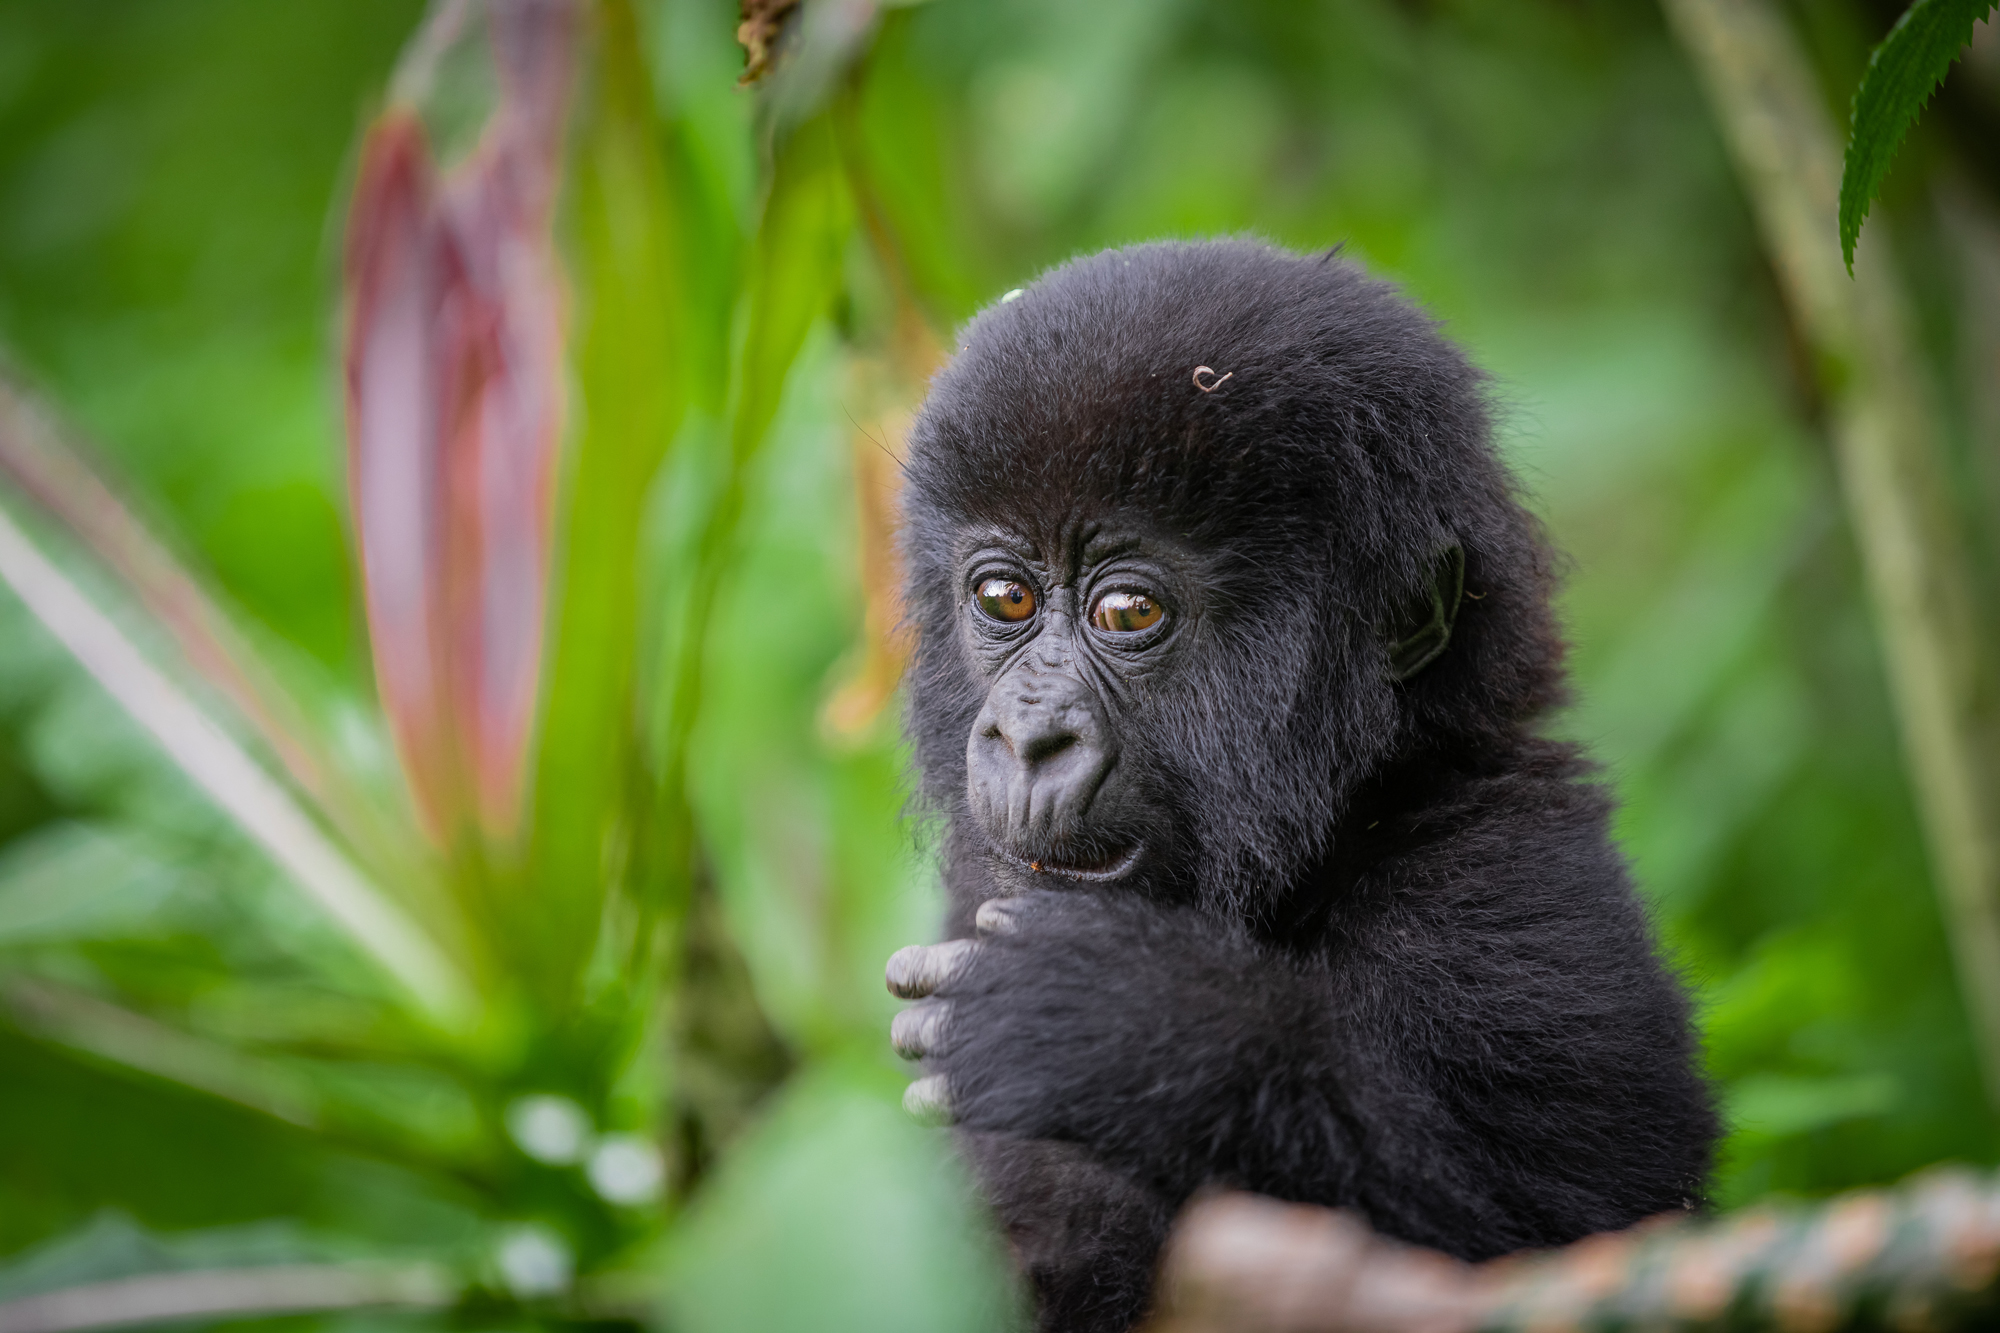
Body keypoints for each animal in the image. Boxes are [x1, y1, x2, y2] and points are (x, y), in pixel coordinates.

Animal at [884, 239, 1712, 1328]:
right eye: (1003, 598)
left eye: (1126, 612)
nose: (1028, 737)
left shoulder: (1509, 878)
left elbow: (1562, 1235)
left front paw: (1138, 1034)